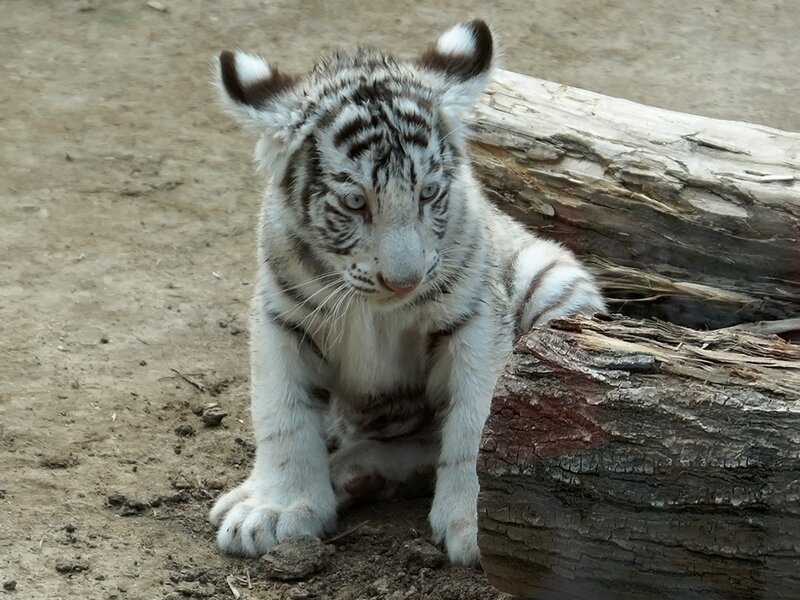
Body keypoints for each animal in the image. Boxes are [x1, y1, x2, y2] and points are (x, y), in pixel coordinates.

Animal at [208, 20, 604, 566]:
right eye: (355, 203)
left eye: (429, 193)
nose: (404, 281)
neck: (377, 308)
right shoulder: (281, 318)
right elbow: (282, 414)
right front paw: (276, 508)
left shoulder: (475, 321)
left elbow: (477, 425)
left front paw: (475, 521)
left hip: (550, 279)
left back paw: (355, 472)